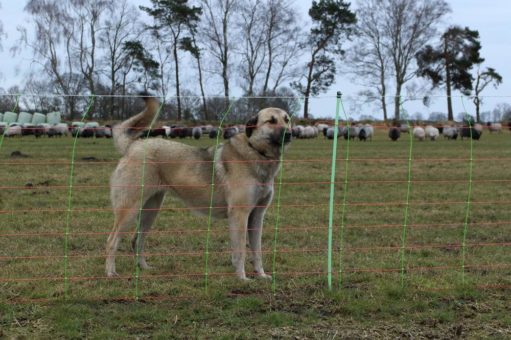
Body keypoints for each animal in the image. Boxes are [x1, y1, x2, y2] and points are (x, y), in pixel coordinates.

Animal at [106, 94, 292, 280]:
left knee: (137, 240)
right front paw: (242, 278)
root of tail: (133, 145)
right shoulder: (239, 214)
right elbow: (240, 251)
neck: (256, 152)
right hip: (129, 209)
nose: (289, 133)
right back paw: (110, 272)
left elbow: (257, 251)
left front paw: (261, 275)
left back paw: (145, 268)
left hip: (150, 211)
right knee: (112, 240)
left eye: (287, 120)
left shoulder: (256, 216)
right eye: (271, 121)